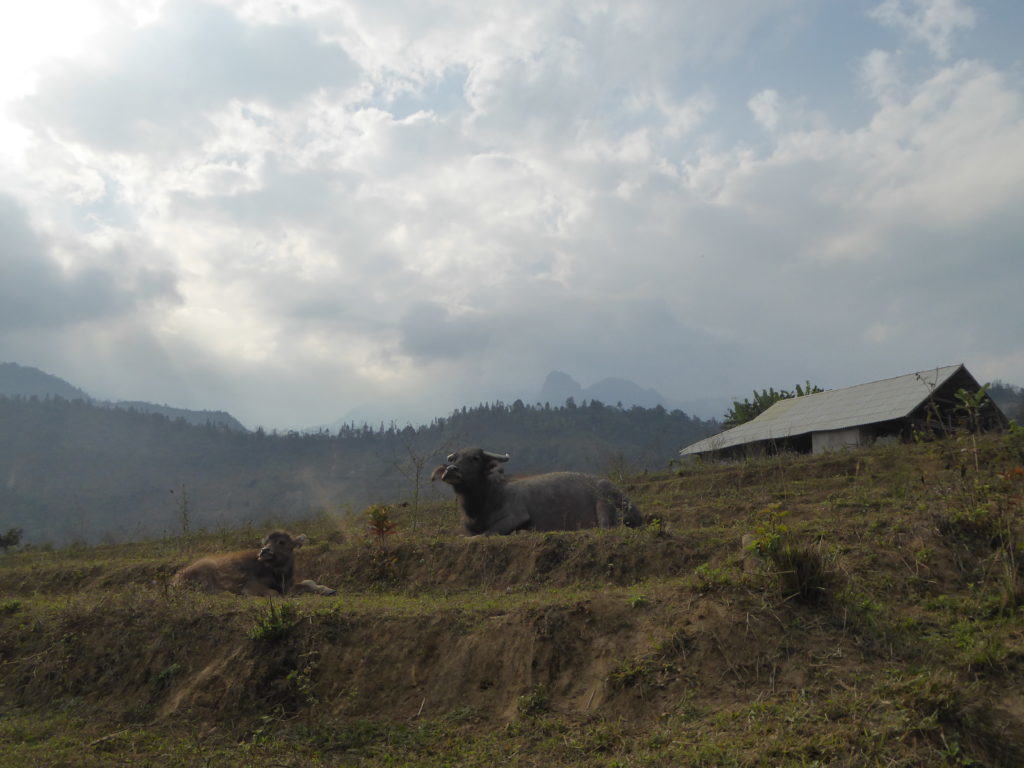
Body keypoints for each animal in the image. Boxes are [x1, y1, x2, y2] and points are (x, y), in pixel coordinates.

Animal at [172, 532, 335, 598]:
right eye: (265, 542)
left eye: (281, 542)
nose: (264, 550)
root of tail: (175, 580)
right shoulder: (250, 585)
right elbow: (274, 594)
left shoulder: (288, 586)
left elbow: (308, 581)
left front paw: (328, 590)